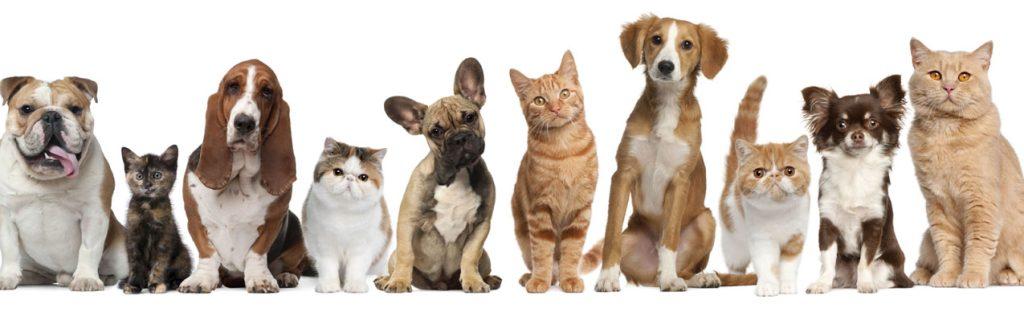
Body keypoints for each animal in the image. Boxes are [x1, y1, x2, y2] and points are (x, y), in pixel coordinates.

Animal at [0, 75, 126, 288]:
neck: (46, 180)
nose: (51, 115)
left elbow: (89, 248)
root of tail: (58, 273)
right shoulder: (5, 213)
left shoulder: (94, 213)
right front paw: (8, 276)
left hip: (121, 257)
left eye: (75, 109)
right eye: (27, 109)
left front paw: (86, 278)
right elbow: (9, 249)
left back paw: (103, 277)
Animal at [119, 144, 192, 292]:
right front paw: (134, 284)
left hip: (183, 254)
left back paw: (174, 282)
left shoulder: (164, 238)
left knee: (183, 273)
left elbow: (160, 263)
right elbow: (135, 264)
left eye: (157, 175)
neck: (148, 206)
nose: (147, 185)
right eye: (139, 176)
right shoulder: (133, 237)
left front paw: (156, 284)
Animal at [178, 59, 305, 292]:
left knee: (296, 266)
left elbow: (257, 252)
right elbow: (208, 253)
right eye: (233, 86)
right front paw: (201, 279)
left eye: (267, 91)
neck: (238, 179)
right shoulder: (195, 219)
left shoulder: (273, 221)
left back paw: (286, 276)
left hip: (296, 241)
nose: (244, 122)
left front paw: (260, 279)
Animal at [507, 50, 598, 290]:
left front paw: (570, 279)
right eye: (540, 100)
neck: (563, 149)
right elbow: (541, 251)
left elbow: (572, 250)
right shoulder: (539, 208)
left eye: (564, 93)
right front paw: (540, 280)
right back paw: (534, 277)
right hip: (521, 232)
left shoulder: (581, 208)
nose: (555, 108)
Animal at [716, 76, 811, 294]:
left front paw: (786, 285)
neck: (778, 213)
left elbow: (788, 265)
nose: (774, 175)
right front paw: (768, 286)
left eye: (789, 171)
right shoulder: (761, 240)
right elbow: (767, 264)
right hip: (733, 239)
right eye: (759, 173)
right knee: (736, 263)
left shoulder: (796, 238)